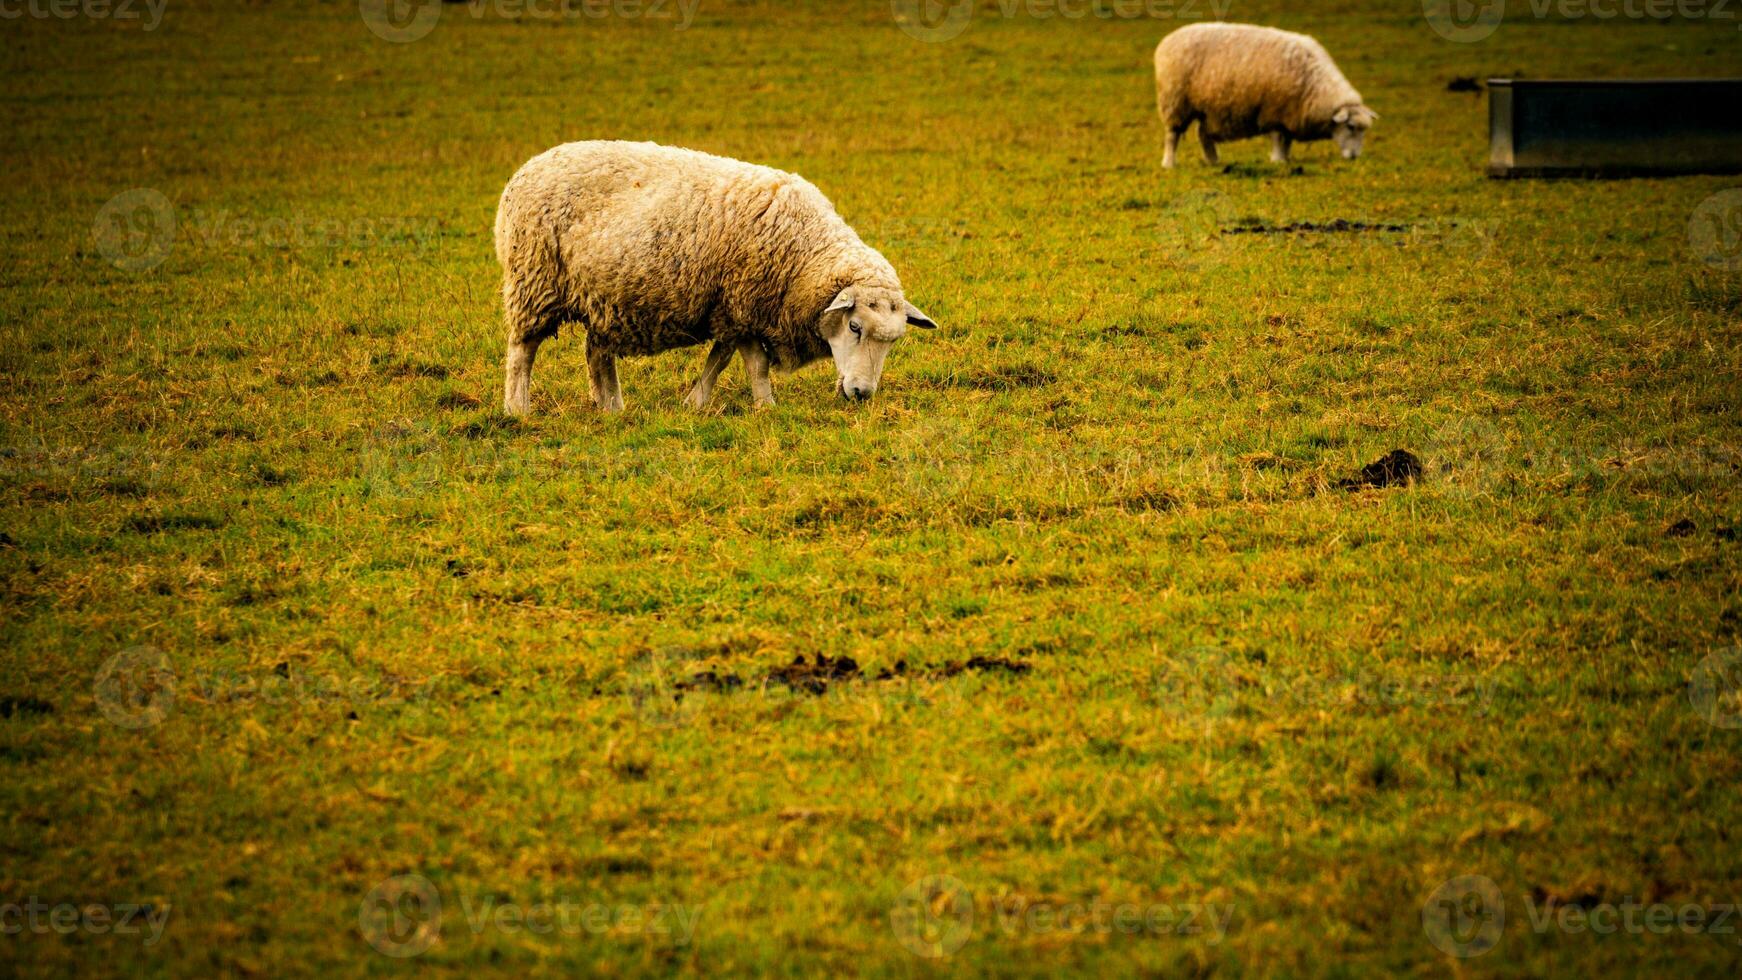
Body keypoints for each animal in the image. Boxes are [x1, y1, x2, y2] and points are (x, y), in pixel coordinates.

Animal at [491, 140, 940, 416]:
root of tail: (527, 168)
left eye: (894, 341)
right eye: (854, 326)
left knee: (597, 352)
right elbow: (754, 364)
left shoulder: (730, 308)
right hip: (534, 279)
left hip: (604, 296)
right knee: (522, 351)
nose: (862, 394)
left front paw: (695, 401)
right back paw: (518, 409)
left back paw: (612, 408)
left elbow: (719, 359)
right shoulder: (741, 303)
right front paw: (765, 406)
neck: (806, 253)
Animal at [1149, 23, 1379, 168]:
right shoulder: (1274, 111)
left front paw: (1286, 159)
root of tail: (1167, 39)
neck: (1315, 86)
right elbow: (1278, 138)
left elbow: (1287, 140)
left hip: (1207, 108)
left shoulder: (1289, 113)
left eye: (1364, 130)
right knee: (1172, 135)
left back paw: (1213, 161)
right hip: (1176, 101)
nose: (1354, 157)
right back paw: (1169, 163)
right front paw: (1277, 160)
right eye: (1350, 126)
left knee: (1204, 135)